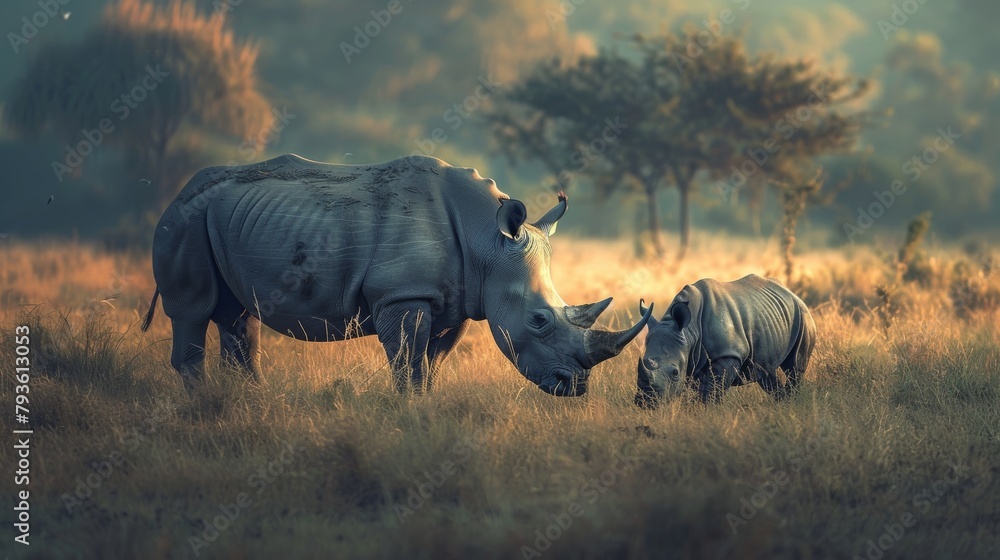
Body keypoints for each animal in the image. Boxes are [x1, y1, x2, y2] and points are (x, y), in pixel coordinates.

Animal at [141, 154, 651, 396]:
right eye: (539, 321)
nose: (577, 388)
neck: (487, 239)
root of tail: (178, 194)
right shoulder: (403, 295)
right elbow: (407, 362)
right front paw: (408, 414)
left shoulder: (455, 300)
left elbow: (430, 365)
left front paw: (424, 410)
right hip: (185, 222)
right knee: (194, 311)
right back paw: (205, 408)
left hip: (223, 220)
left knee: (238, 316)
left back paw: (247, 400)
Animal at [635, 274, 816, 406]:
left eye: (675, 372)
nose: (645, 402)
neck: (688, 332)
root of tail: (793, 294)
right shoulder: (692, 359)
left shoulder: (728, 355)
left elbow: (712, 392)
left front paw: (705, 413)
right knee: (765, 372)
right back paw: (782, 403)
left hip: (803, 315)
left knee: (794, 368)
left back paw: (790, 402)